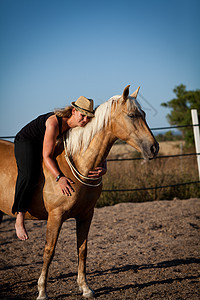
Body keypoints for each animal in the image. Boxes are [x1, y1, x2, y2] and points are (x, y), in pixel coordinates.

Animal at [0, 85, 159, 298]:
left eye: (144, 114)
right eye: (132, 115)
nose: (154, 148)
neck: (78, 162)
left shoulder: (86, 215)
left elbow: (82, 249)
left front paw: (85, 288)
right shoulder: (55, 216)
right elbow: (49, 251)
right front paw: (42, 291)